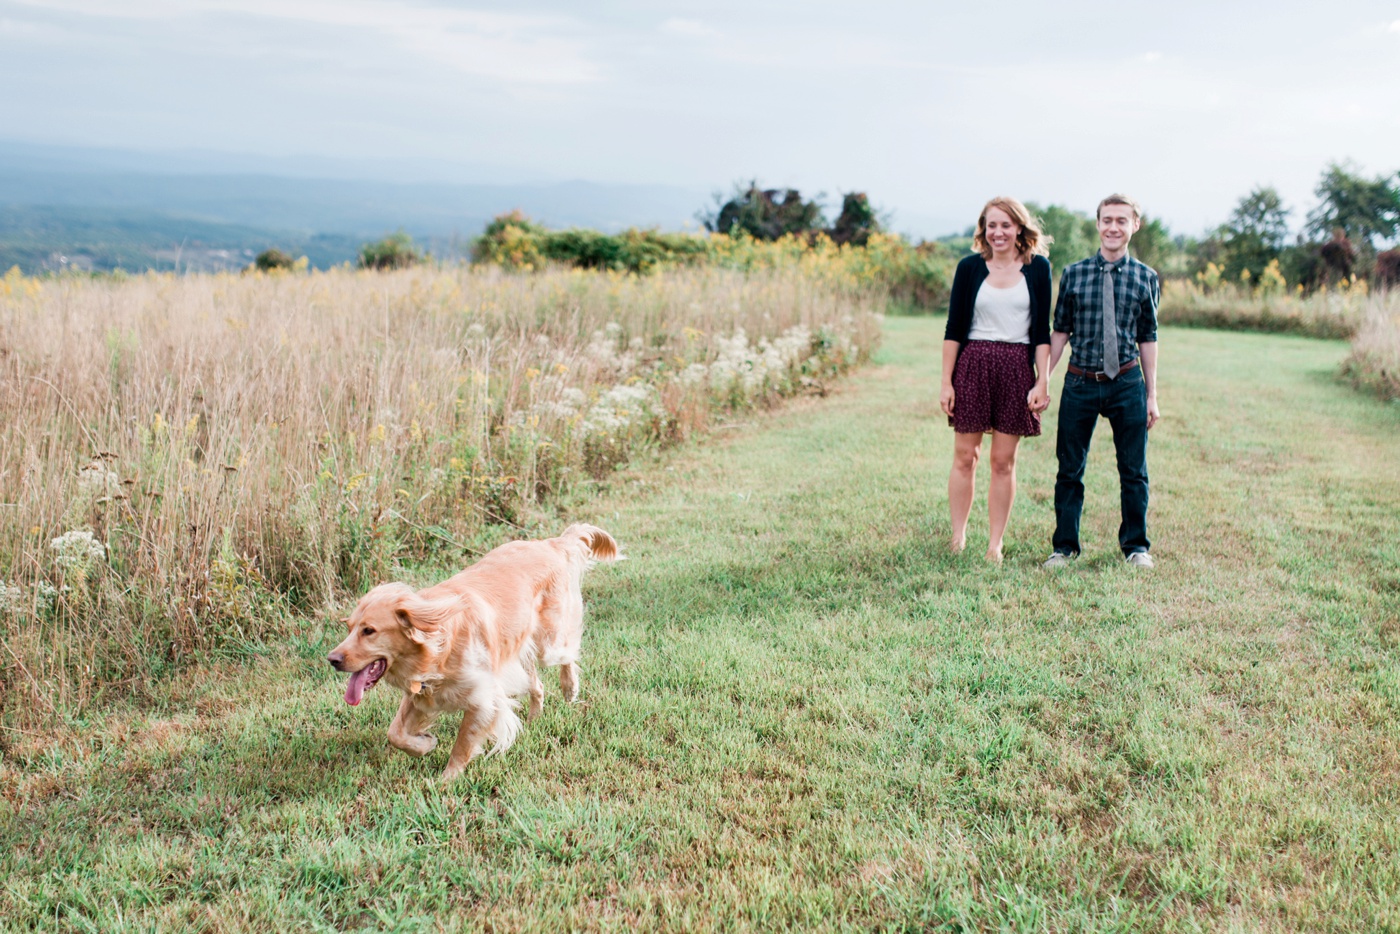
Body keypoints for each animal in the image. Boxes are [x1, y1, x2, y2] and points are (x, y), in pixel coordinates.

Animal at [327, 526, 618, 784]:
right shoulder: (420, 694)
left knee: (568, 653)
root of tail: (549, 543)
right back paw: (535, 718)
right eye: (349, 628)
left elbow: (462, 744)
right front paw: (424, 744)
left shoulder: (484, 700)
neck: (439, 647)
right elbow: (395, 733)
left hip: (549, 642)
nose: (332, 660)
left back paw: (570, 688)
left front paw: (446, 780)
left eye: (369, 631)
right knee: (537, 684)